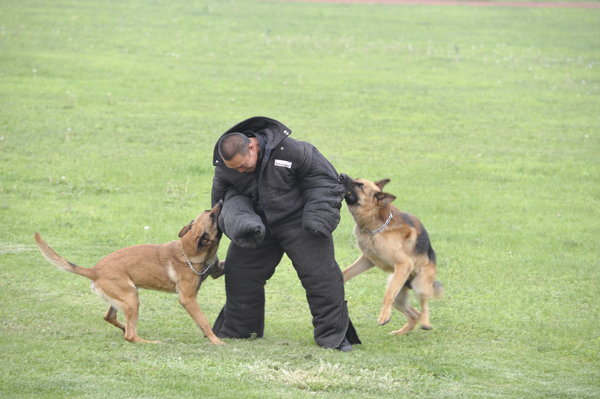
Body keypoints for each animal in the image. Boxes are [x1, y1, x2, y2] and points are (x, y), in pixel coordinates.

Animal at [35, 202, 227, 346]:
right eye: (211, 215)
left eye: (209, 211)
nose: (220, 202)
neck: (188, 252)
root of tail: (94, 270)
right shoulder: (188, 299)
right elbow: (203, 321)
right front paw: (215, 340)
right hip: (132, 297)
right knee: (130, 336)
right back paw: (148, 341)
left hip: (123, 298)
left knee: (110, 318)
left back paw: (123, 328)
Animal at [340, 177, 442, 336]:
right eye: (356, 180)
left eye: (359, 185)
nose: (341, 175)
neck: (375, 225)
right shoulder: (367, 260)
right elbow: (346, 272)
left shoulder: (404, 264)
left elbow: (387, 296)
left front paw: (384, 317)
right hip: (399, 296)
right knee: (414, 314)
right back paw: (401, 332)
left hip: (420, 285)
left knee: (423, 306)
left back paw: (425, 322)